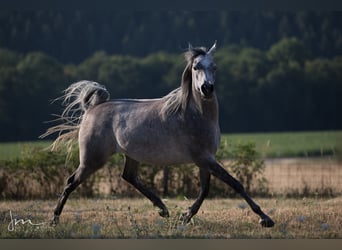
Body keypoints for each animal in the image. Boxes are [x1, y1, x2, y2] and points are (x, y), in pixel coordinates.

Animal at [40, 42, 276, 228]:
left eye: (215, 67)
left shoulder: (205, 159)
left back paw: (163, 209)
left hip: (130, 155)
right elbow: (235, 184)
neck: (195, 114)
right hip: (92, 160)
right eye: (196, 67)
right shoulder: (204, 158)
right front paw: (265, 219)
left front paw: (185, 217)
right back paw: (54, 220)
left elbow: (205, 189)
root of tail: (92, 108)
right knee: (71, 182)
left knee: (129, 176)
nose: (207, 88)